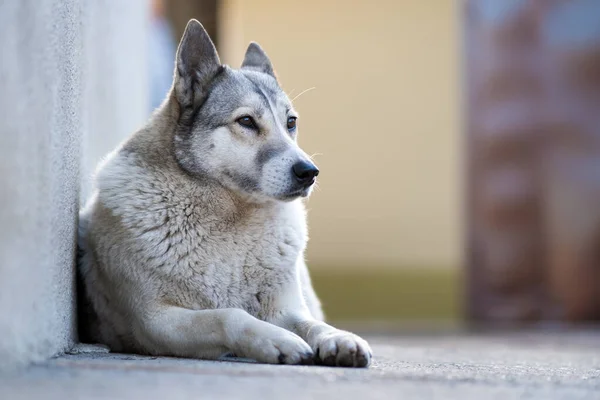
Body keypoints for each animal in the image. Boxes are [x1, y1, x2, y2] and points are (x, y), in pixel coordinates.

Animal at [77, 19, 372, 368]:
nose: (309, 172)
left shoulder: (285, 310)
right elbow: (228, 315)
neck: (232, 219)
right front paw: (277, 341)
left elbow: (311, 324)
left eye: (291, 122)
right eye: (246, 121)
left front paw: (338, 338)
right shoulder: (155, 321)